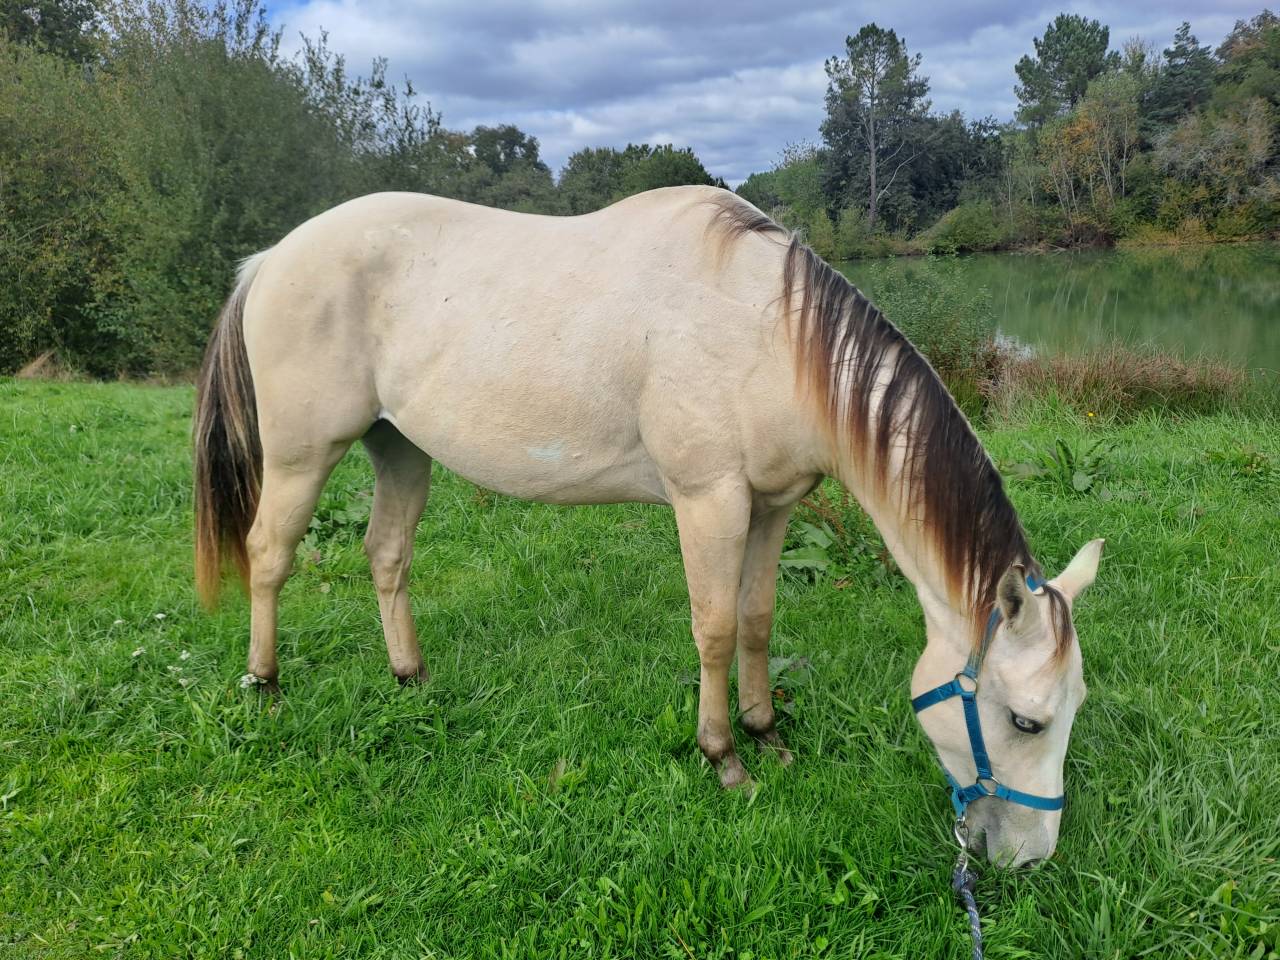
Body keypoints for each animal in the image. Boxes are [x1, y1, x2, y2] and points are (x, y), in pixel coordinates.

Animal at [193, 186, 1103, 866]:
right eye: (1025, 721)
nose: (1031, 856)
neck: (767, 333)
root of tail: (271, 260)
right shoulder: (711, 501)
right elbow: (714, 628)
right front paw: (724, 759)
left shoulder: (772, 506)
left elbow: (757, 621)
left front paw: (768, 735)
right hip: (305, 454)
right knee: (269, 556)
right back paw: (266, 686)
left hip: (400, 449)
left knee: (385, 555)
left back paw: (411, 679)